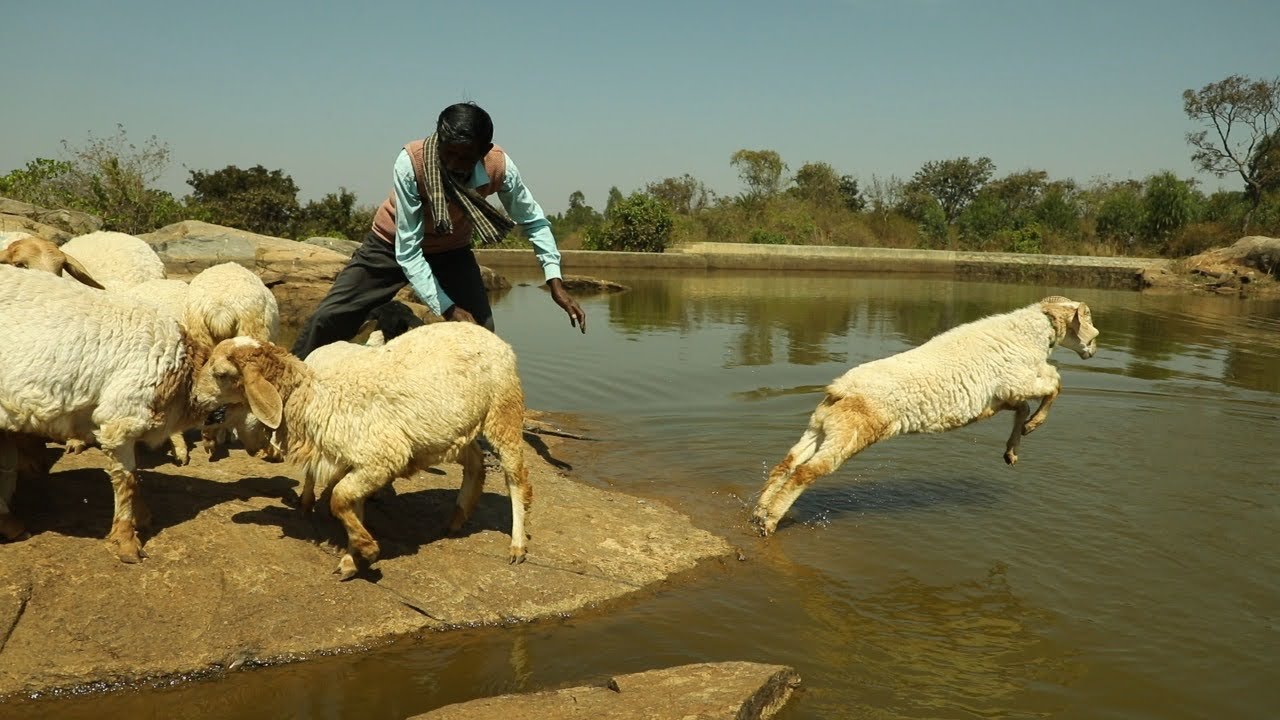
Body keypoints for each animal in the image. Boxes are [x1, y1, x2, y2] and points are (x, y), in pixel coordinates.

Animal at [192, 322, 532, 580]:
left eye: (222, 374)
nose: (194, 398)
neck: (317, 401)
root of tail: (491, 336)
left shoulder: (381, 458)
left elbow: (339, 499)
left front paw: (367, 549)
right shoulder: (353, 464)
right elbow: (350, 506)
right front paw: (353, 559)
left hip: (503, 409)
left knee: (516, 477)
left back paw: (517, 545)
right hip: (452, 432)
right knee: (475, 461)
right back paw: (458, 517)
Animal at [751, 295, 1099, 536]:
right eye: (1092, 330)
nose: (1094, 350)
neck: (1033, 331)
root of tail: (840, 389)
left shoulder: (998, 398)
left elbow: (1025, 406)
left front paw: (1013, 448)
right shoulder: (1019, 380)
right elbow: (1055, 383)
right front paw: (1033, 426)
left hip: (821, 429)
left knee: (787, 463)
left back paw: (759, 512)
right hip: (850, 435)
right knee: (805, 472)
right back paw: (770, 522)